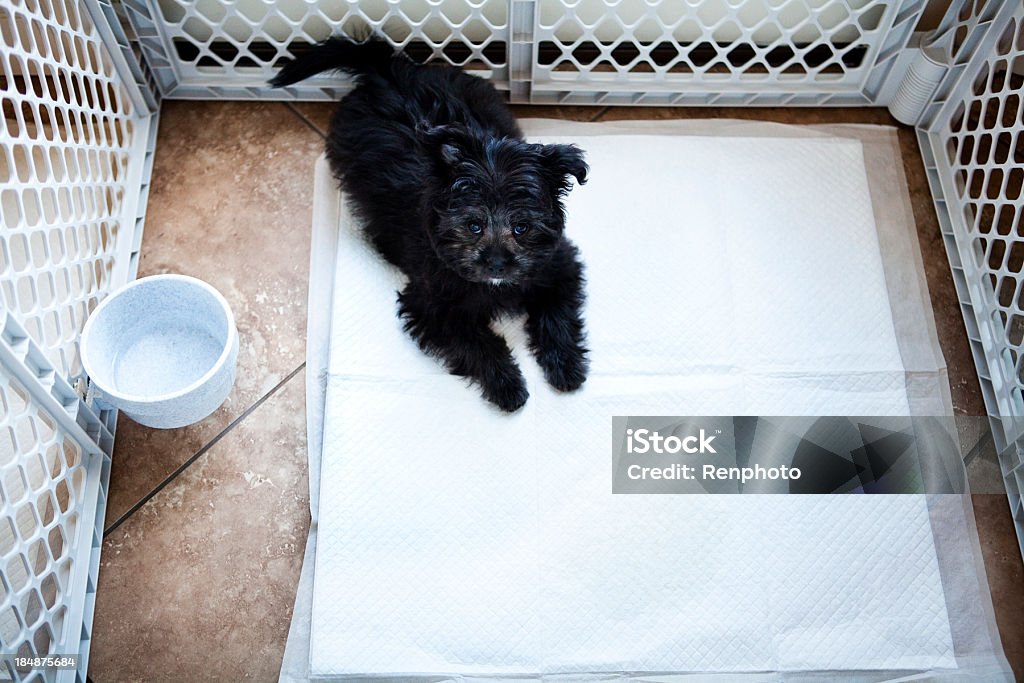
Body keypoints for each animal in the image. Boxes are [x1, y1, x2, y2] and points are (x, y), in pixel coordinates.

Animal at [272, 38, 589, 411]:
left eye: (522, 227)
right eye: (473, 225)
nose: (497, 263)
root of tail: (387, 69)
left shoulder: (558, 266)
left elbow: (557, 315)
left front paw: (566, 367)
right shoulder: (430, 305)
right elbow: (477, 342)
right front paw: (507, 386)